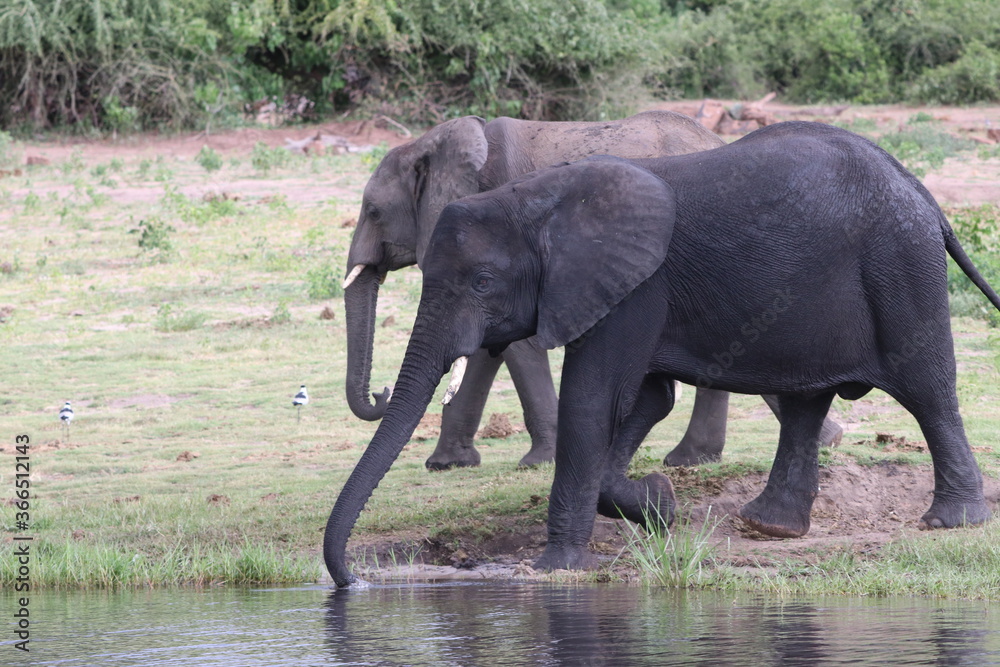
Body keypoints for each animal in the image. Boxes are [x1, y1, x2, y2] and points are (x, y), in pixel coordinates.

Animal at [342, 110, 843, 470]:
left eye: (373, 211)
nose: (381, 392)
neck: (432, 143)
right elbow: (485, 347)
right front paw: (447, 465)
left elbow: (516, 348)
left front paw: (537, 462)